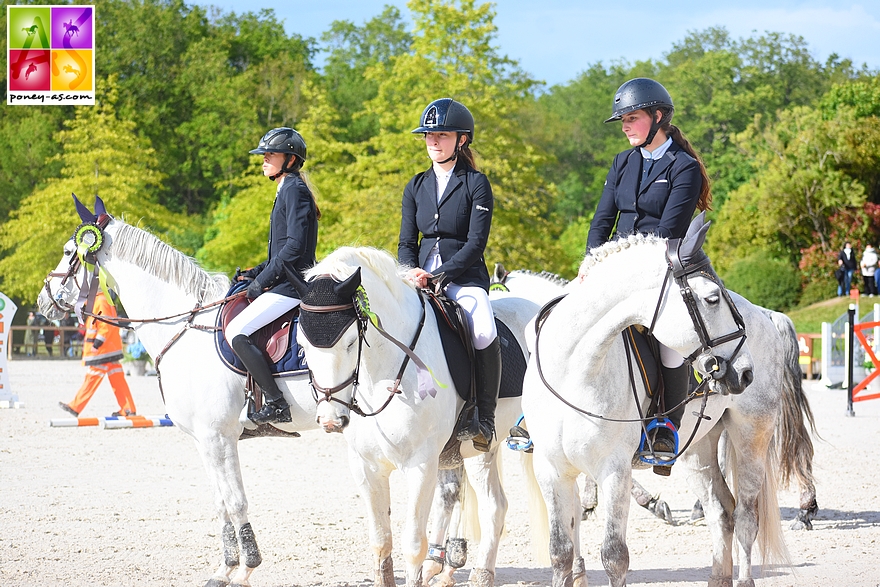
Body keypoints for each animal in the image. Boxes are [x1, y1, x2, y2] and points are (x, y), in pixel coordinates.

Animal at [38, 199, 320, 587]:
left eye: (69, 252)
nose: (43, 301)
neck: (183, 327)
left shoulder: (219, 436)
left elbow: (236, 502)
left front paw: (245, 567)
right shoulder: (204, 439)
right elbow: (221, 502)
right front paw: (226, 568)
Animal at [288, 247, 536, 587]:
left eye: (350, 342)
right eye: (302, 345)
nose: (330, 420)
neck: (380, 372)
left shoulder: (421, 464)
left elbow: (414, 544)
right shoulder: (366, 467)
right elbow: (381, 541)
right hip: (479, 451)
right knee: (493, 505)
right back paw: (474, 574)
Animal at [524, 217, 792, 587]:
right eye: (712, 299)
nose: (745, 372)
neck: (570, 371)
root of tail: (764, 315)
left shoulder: (614, 469)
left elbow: (614, 556)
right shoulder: (551, 470)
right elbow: (560, 552)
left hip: (752, 434)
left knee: (746, 517)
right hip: (697, 448)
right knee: (721, 511)